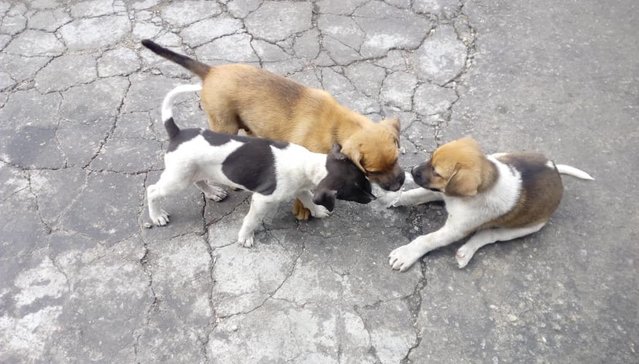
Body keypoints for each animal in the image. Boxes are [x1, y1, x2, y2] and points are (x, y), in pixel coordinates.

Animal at [142, 39, 404, 219]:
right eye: (372, 170)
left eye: (396, 158)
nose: (400, 185)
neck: (337, 125)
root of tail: (211, 71)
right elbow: (304, 193)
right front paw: (304, 211)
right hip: (224, 125)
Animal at [148, 84, 378, 246]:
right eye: (354, 190)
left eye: (365, 180)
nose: (374, 198)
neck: (309, 163)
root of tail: (177, 133)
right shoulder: (261, 200)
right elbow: (252, 220)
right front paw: (245, 237)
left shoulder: (301, 188)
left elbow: (307, 199)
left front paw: (317, 210)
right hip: (177, 178)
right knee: (152, 191)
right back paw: (157, 216)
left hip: (192, 171)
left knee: (199, 181)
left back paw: (213, 192)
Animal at [384, 138, 596, 272]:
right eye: (430, 157)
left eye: (437, 172)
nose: (412, 170)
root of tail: (556, 171)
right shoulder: (441, 192)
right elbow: (414, 194)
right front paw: (393, 197)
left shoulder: (455, 229)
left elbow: (426, 240)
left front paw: (406, 254)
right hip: (503, 155)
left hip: (525, 228)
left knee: (489, 235)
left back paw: (466, 252)